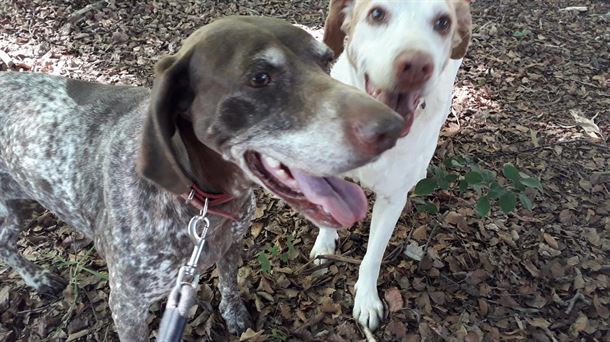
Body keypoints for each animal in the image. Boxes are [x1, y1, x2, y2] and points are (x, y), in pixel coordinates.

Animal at [308, 0, 470, 332]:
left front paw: (367, 300)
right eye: (377, 14)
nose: (416, 65)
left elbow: (373, 255)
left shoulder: (393, 199)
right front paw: (325, 243)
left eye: (443, 22)